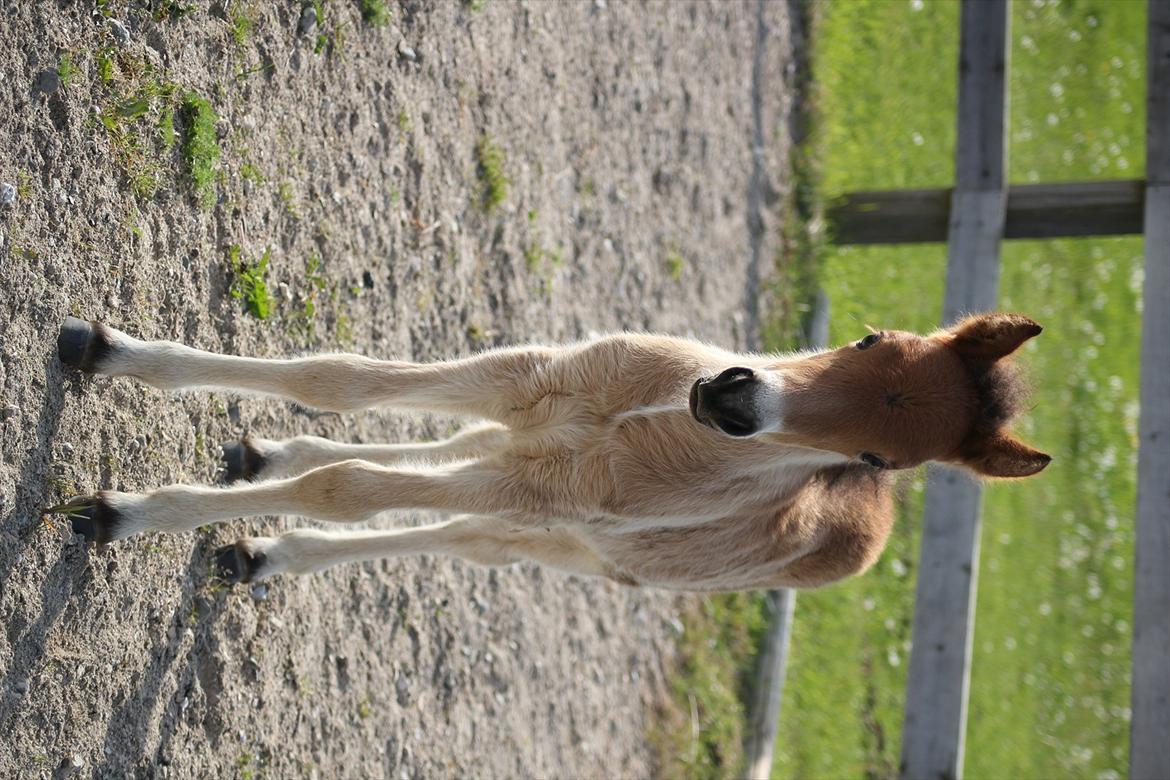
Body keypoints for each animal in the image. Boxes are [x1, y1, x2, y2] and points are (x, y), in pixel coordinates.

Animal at [50, 311, 1053, 591]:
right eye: (869, 338)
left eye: (885, 458)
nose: (733, 397)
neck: (653, 421)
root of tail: (869, 532)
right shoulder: (531, 383)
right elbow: (343, 378)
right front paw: (104, 350)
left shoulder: (545, 490)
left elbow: (351, 489)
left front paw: (118, 513)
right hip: (533, 471)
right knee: (448, 461)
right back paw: (266, 468)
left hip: (558, 536)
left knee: (452, 533)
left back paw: (264, 552)